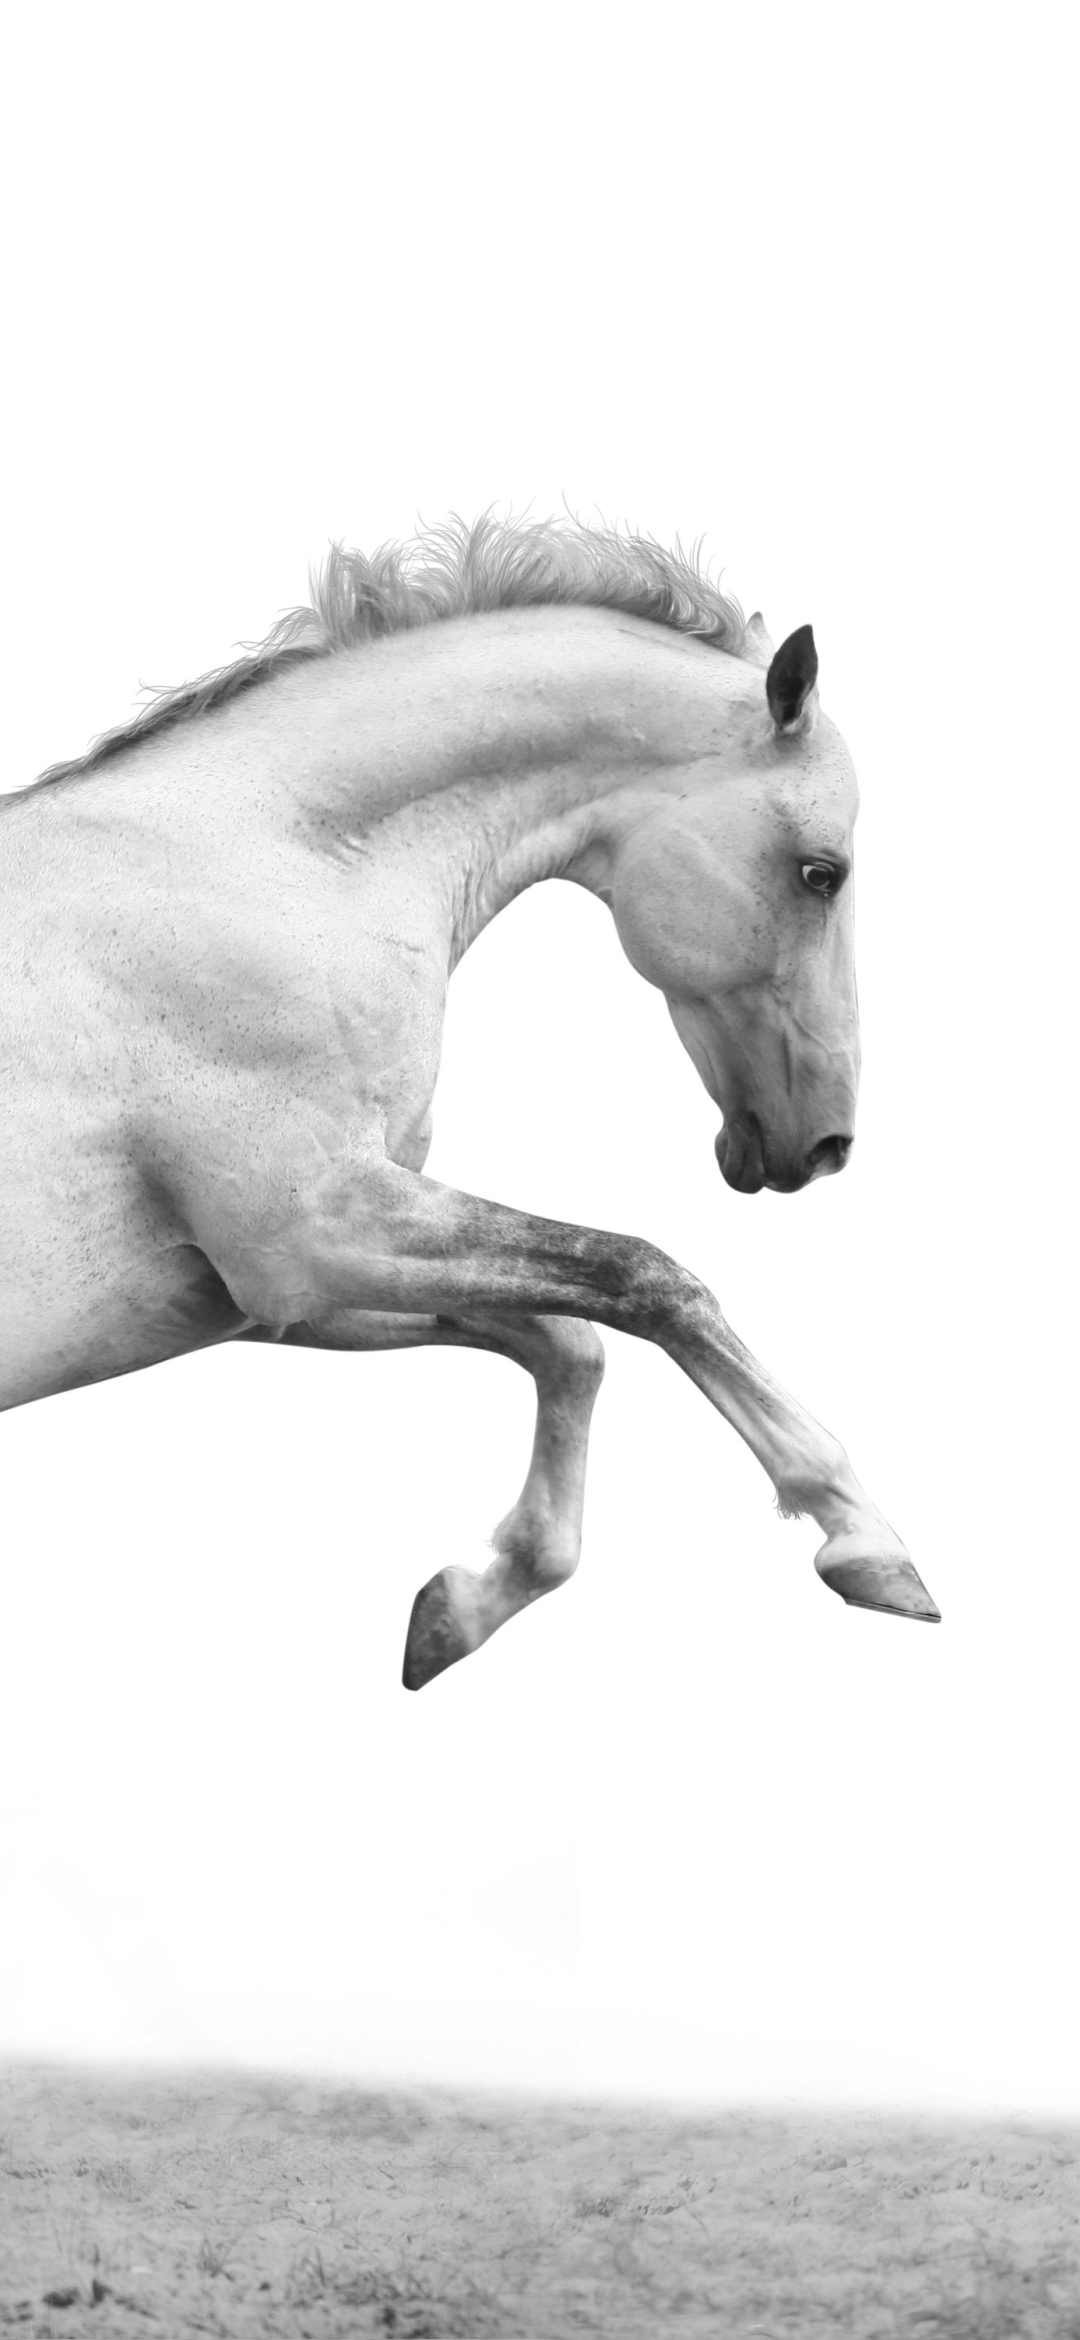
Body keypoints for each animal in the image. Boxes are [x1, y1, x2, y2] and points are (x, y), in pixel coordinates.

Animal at [0, 515, 939, 1690]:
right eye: (823, 872)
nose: (823, 1143)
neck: (271, 866)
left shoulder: (274, 1292)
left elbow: (570, 1338)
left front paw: (463, 1606)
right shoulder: (314, 1232)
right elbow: (650, 1278)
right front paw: (866, 1540)